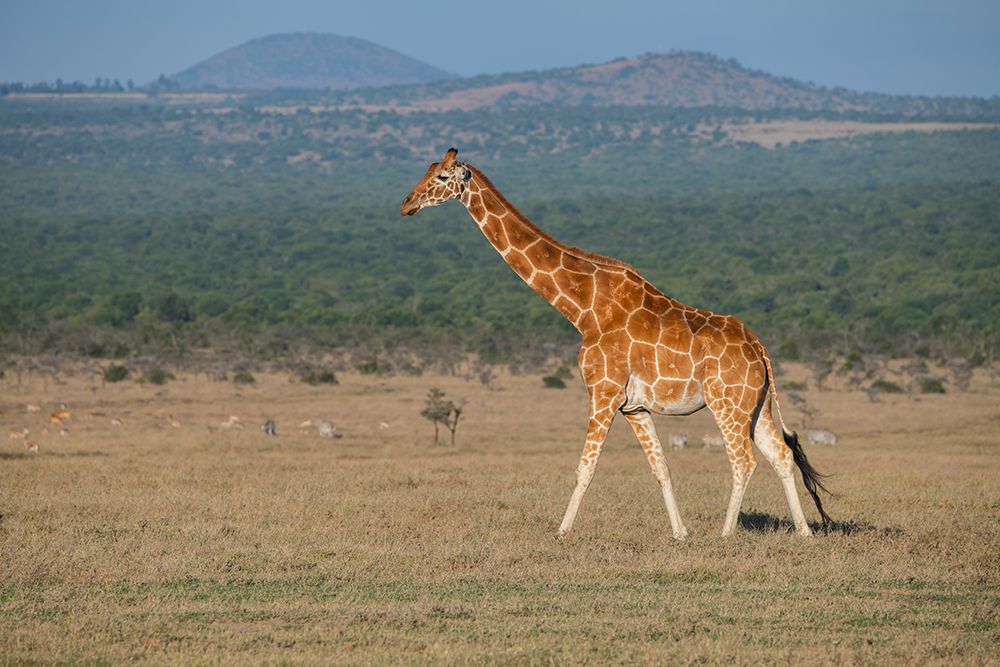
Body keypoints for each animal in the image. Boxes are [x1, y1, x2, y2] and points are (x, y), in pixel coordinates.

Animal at [401, 148, 832, 539]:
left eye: (442, 178)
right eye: (426, 169)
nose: (407, 204)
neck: (583, 309)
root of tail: (760, 348)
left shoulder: (602, 392)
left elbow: (585, 467)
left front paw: (561, 532)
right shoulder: (634, 407)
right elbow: (661, 467)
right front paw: (680, 533)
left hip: (727, 403)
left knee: (744, 461)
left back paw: (726, 533)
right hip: (755, 405)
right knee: (780, 454)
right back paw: (804, 532)